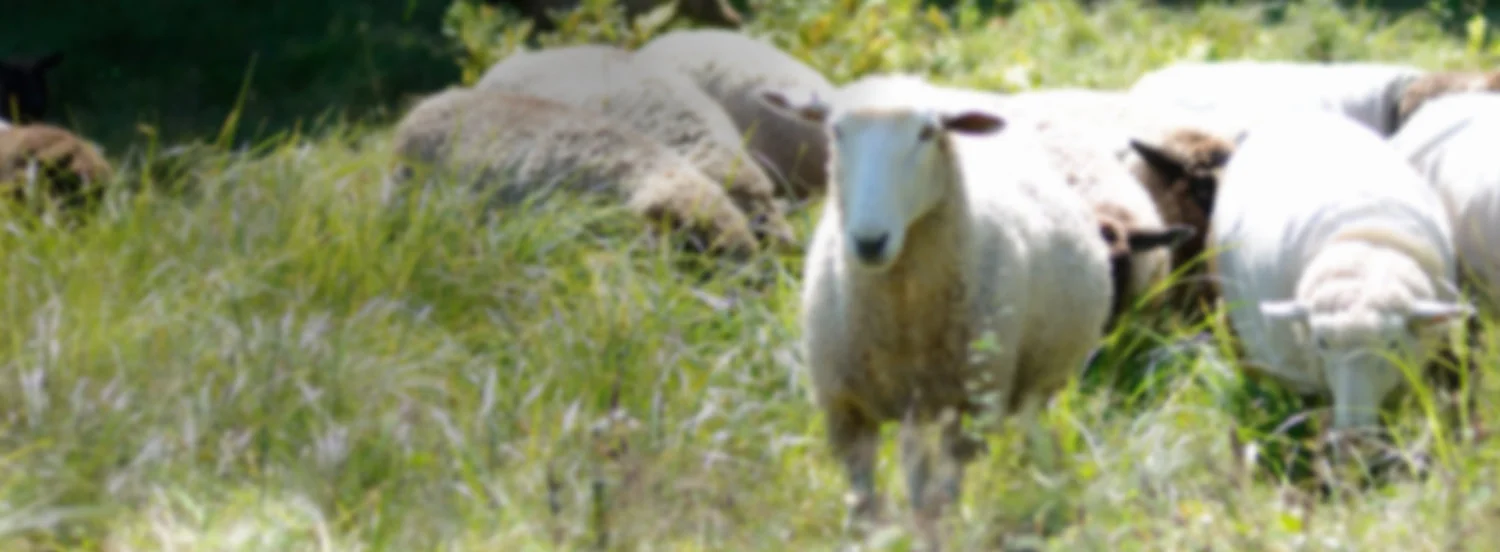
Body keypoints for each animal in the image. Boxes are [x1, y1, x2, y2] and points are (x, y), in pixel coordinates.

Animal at [761, 74, 1112, 533]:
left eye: (927, 133)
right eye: (835, 131)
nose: (869, 241)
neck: (901, 311)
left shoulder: (968, 407)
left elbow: (944, 495)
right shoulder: (845, 410)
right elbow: (865, 500)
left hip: (1033, 383)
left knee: (1028, 428)